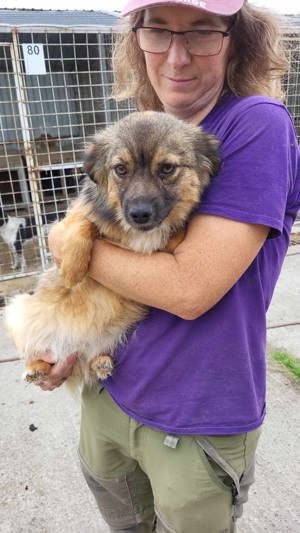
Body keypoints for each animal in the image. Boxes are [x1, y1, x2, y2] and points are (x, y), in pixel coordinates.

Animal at [4, 111, 220, 386]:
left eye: (167, 168)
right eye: (121, 169)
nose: (139, 214)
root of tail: (72, 347)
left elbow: (176, 233)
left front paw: (174, 232)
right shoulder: (75, 215)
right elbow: (82, 222)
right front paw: (72, 268)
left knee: (92, 354)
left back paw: (100, 362)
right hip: (16, 311)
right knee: (34, 351)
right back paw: (36, 367)